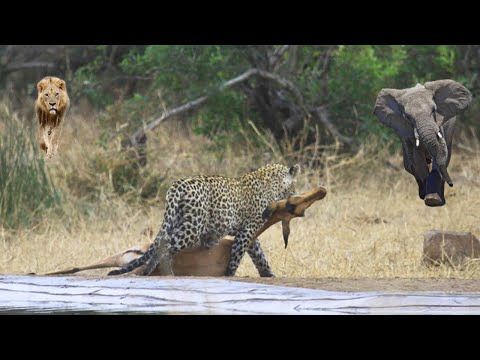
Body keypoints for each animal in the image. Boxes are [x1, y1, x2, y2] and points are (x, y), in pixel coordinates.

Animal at [108, 164, 300, 278]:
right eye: (294, 185)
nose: (297, 194)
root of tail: (177, 185)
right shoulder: (247, 230)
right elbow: (237, 254)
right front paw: (229, 273)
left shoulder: (247, 231)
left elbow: (258, 254)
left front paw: (268, 273)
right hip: (192, 227)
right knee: (166, 247)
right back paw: (167, 273)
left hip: (177, 220)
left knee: (160, 243)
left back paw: (149, 271)